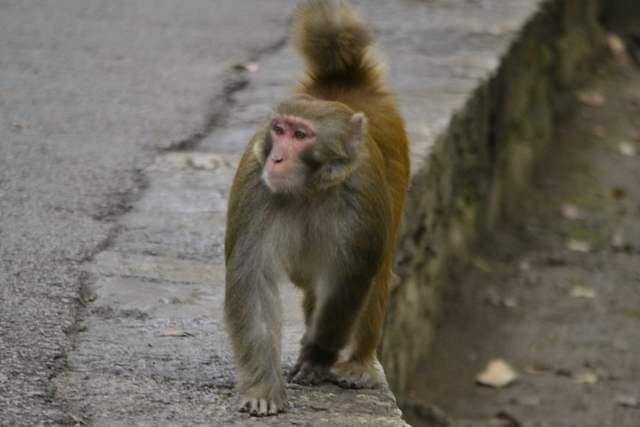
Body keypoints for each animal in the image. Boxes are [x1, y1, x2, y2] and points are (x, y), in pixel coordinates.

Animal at [224, 0, 410, 416]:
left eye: (301, 135)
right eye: (278, 129)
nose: (276, 158)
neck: (308, 189)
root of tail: (347, 82)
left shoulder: (362, 191)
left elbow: (350, 278)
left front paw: (317, 356)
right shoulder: (254, 183)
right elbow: (253, 280)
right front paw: (263, 388)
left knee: (377, 271)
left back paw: (356, 363)